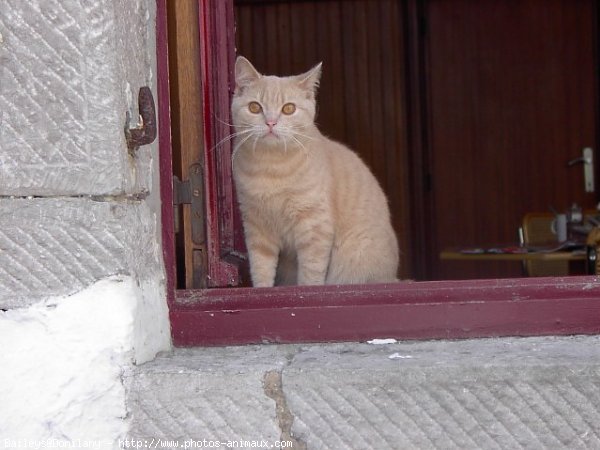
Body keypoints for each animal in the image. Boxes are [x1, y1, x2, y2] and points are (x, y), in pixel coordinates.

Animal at [230, 56, 398, 286]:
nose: (271, 122)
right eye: (255, 107)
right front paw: (262, 290)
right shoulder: (257, 227)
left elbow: (311, 273)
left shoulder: (315, 227)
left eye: (288, 109)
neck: (271, 168)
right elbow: (261, 268)